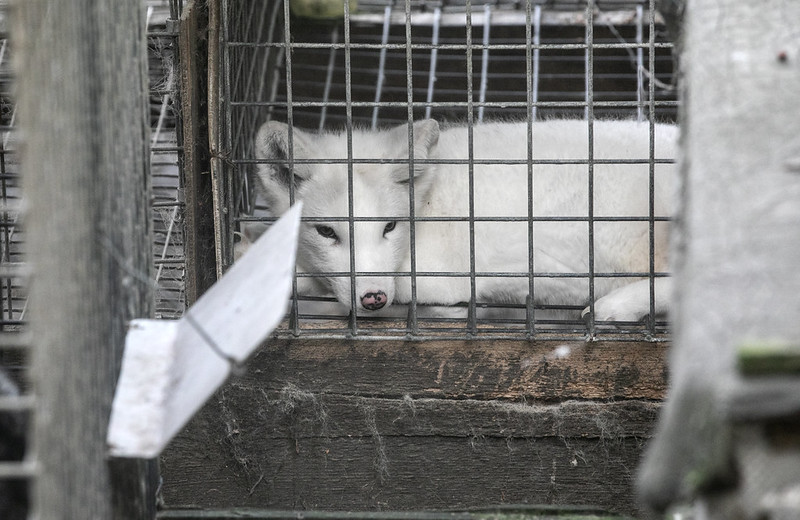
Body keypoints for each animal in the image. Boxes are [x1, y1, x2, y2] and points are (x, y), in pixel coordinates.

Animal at [255, 119, 676, 320]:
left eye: (389, 226)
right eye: (326, 231)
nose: (374, 297)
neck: (427, 201)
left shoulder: (435, 278)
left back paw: (615, 307)